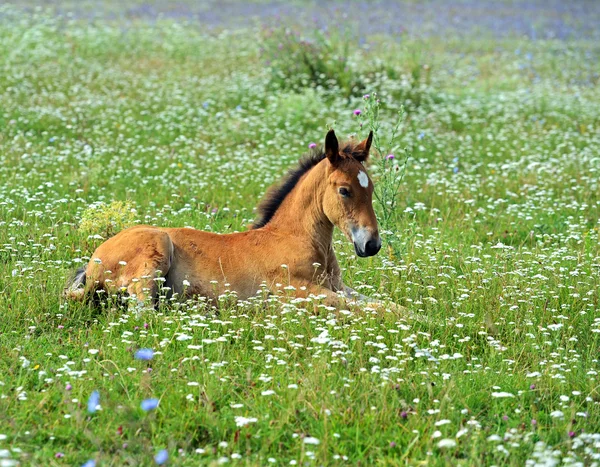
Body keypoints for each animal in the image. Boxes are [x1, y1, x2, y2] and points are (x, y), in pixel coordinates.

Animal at [67, 129, 394, 310]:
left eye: (371, 189)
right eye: (344, 190)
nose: (372, 244)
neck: (296, 239)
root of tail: (93, 262)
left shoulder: (338, 287)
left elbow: (386, 305)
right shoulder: (301, 292)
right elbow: (370, 309)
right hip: (155, 251)